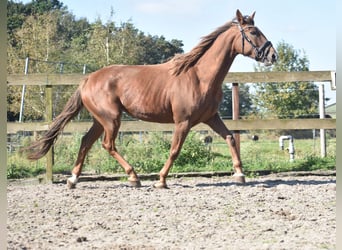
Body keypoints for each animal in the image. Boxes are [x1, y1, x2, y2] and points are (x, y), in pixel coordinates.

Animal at [26, 9, 278, 188]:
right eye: (253, 32)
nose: (273, 55)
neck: (199, 76)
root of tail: (88, 79)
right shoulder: (183, 122)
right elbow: (175, 150)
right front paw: (161, 180)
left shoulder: (211, 117)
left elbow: (230, 138)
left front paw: (240, 174)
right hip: (111, 119)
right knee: (107, 144)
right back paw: (133, 177)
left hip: (100, 120)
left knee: (86, 142)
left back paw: (73, 180)